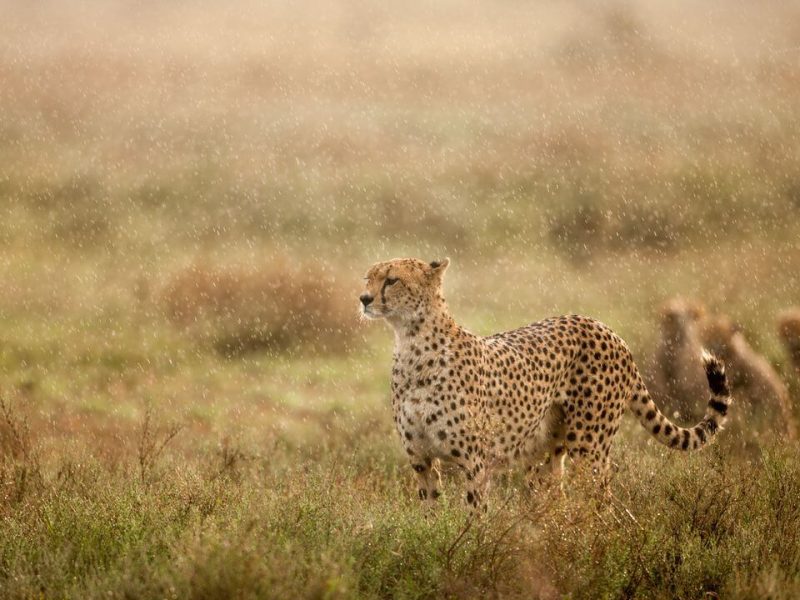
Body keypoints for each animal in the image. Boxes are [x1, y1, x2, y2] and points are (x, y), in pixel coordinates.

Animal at [360, 257, 732, 511]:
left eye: (391, 280)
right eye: (368, 277)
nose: (364, 299)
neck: (411, 343)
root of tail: (605, 328)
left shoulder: (475, 462)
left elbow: (474, 515)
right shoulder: (421, 460)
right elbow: (430, 513)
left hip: (589, 446)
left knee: (602, 503)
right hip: (545, 455)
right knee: (556, 497)